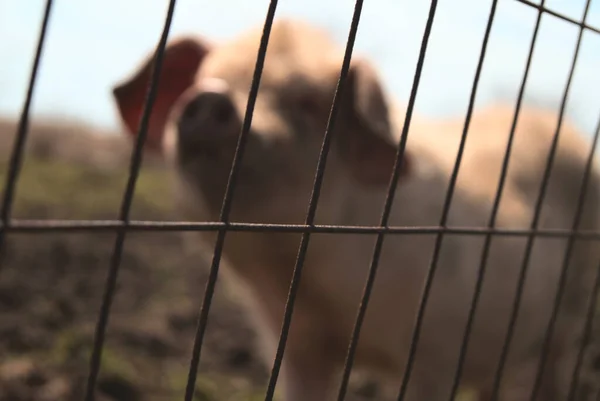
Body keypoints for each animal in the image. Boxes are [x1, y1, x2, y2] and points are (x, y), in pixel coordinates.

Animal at [111, 17, 600, 398]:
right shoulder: (295, 346)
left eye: (307, 103)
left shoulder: (434, 352)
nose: (210, 97)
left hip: (569, 314)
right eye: (208, 78)